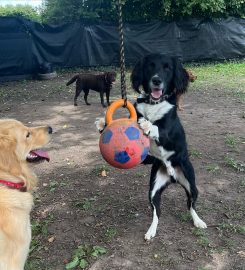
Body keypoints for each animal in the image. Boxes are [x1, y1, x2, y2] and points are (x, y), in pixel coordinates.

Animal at [131, 53, 206, 239]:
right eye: (150, 66)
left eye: (167, 68)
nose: (156, 80)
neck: (153, 103)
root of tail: (172, 177)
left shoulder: (168, 132)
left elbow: (157, 128)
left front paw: (147, 125)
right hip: (153, 191)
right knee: (157, 213)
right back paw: (151, 231)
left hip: (192, 186)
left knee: (191, 205)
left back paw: (198, 221)